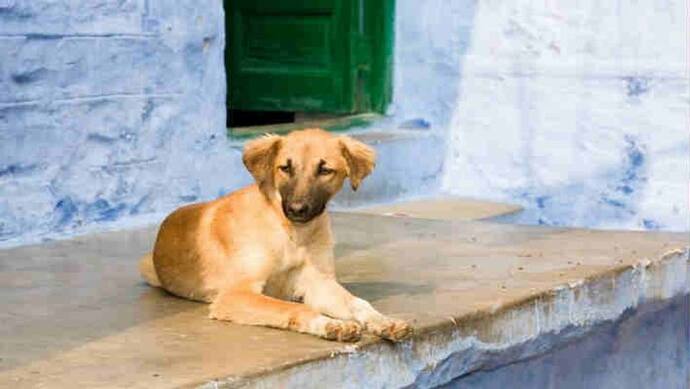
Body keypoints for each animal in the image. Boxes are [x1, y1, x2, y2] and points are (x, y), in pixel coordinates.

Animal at [137, 129, 412, 342]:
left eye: (325, 170)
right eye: (285, 168)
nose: (297, 209)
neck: (291, 234)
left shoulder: (319, 282)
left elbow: (358, 303)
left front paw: (382, 321)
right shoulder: (236, 294)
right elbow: (292, 307)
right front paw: (327, 324)